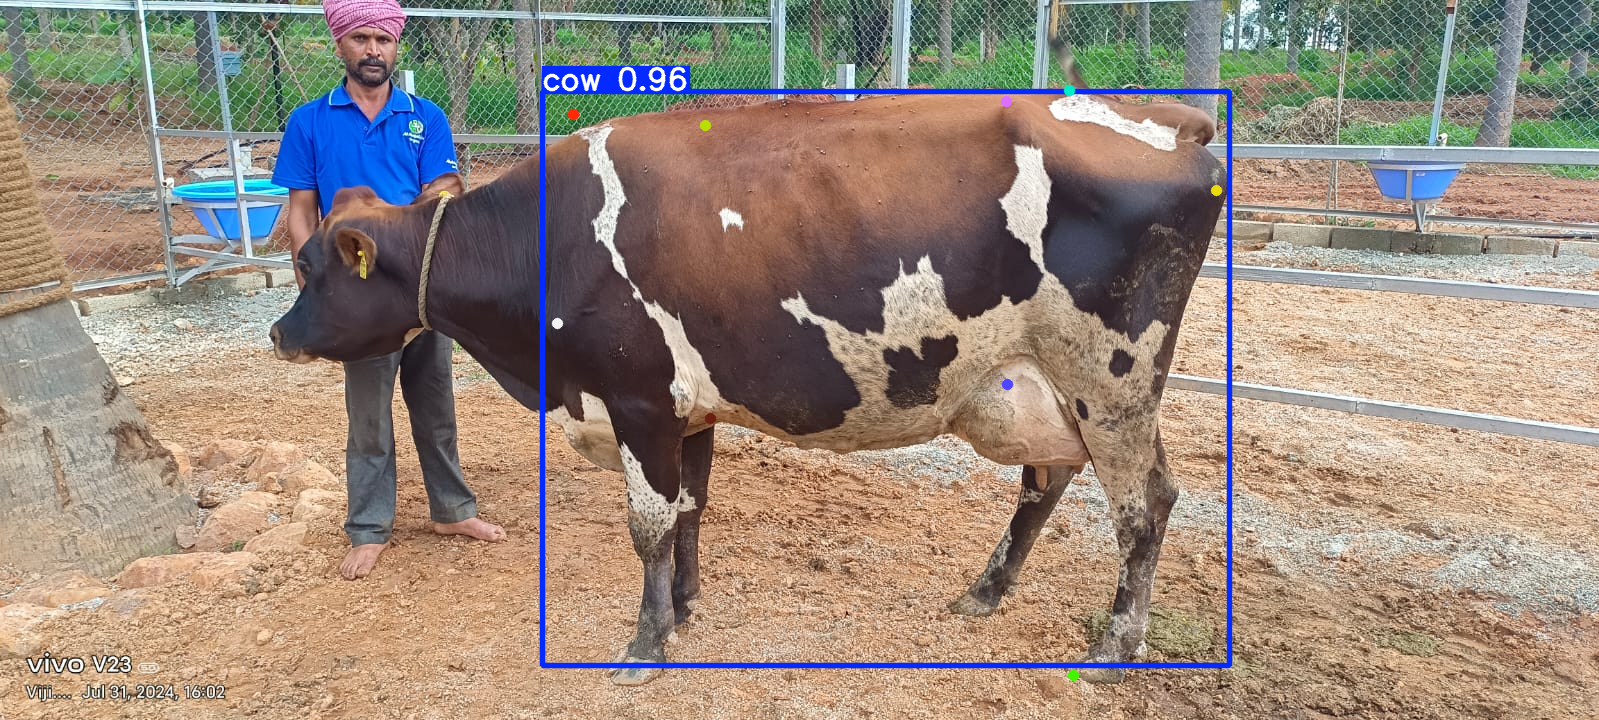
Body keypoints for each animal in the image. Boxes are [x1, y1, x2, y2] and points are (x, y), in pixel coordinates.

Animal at [270, 83, 1226, 685]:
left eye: (311, 268)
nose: (279, 333)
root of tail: (1171, 123)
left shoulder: (639, 400)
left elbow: (650, 524)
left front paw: (645, 643)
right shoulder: (687, 410)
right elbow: (692, 508)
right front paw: (684, 608)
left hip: (1112, 376)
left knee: (1144, 507)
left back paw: (1117, 646)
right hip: (1040, 384)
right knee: (1050, 479)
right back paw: (985, 592)